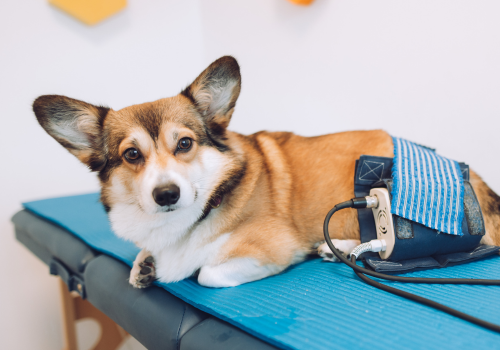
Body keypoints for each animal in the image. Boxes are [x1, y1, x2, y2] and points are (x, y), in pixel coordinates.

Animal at [32, 56, 500, 288]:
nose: (166, 195)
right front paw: (144, 266)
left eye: (184, 144)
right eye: (131, 154)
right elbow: (143, 259)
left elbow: (207, 272)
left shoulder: (267, 248)